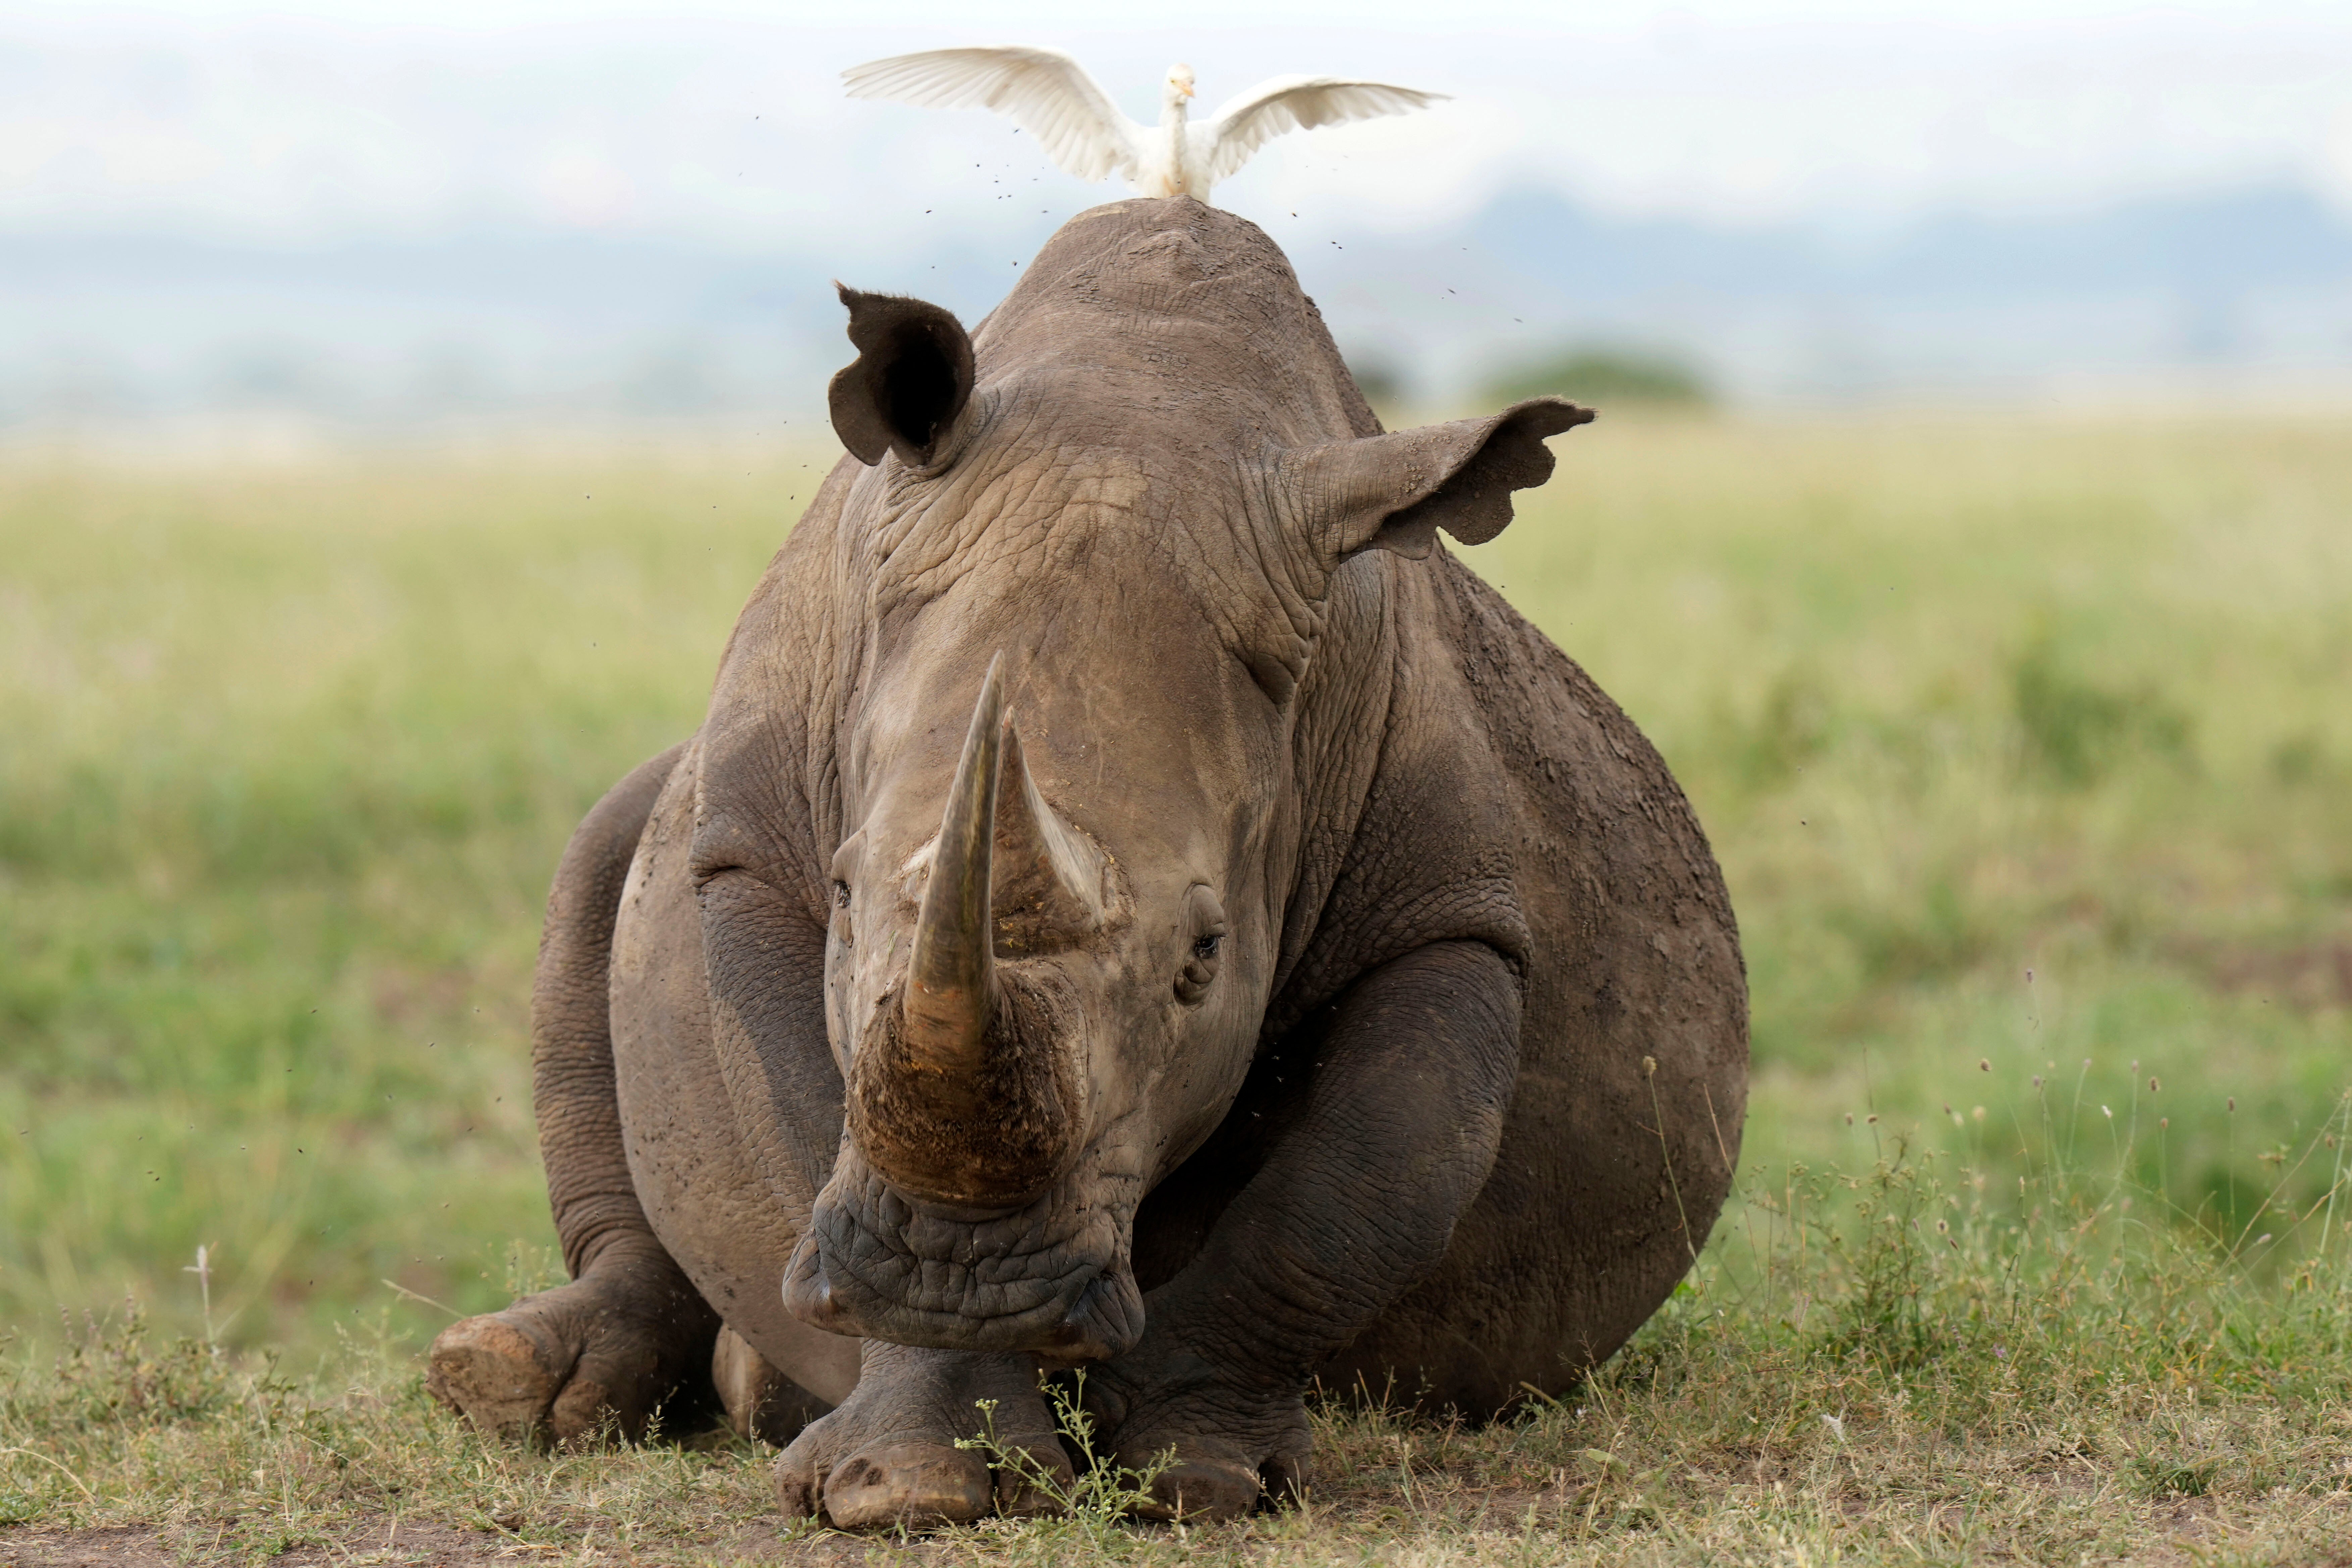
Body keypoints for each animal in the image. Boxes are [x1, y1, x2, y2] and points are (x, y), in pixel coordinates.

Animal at [426, 196, 1747, 1528]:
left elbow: (1348, 1193)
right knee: (592, 878)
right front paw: (909, 1485)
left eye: (1204, 957)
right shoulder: (742, 850)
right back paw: (515, 1384)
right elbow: (798, 1116)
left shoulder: (1448, 910)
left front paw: (1194, 1474)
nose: (958, 1278)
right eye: (842, 893)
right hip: (659, 808)